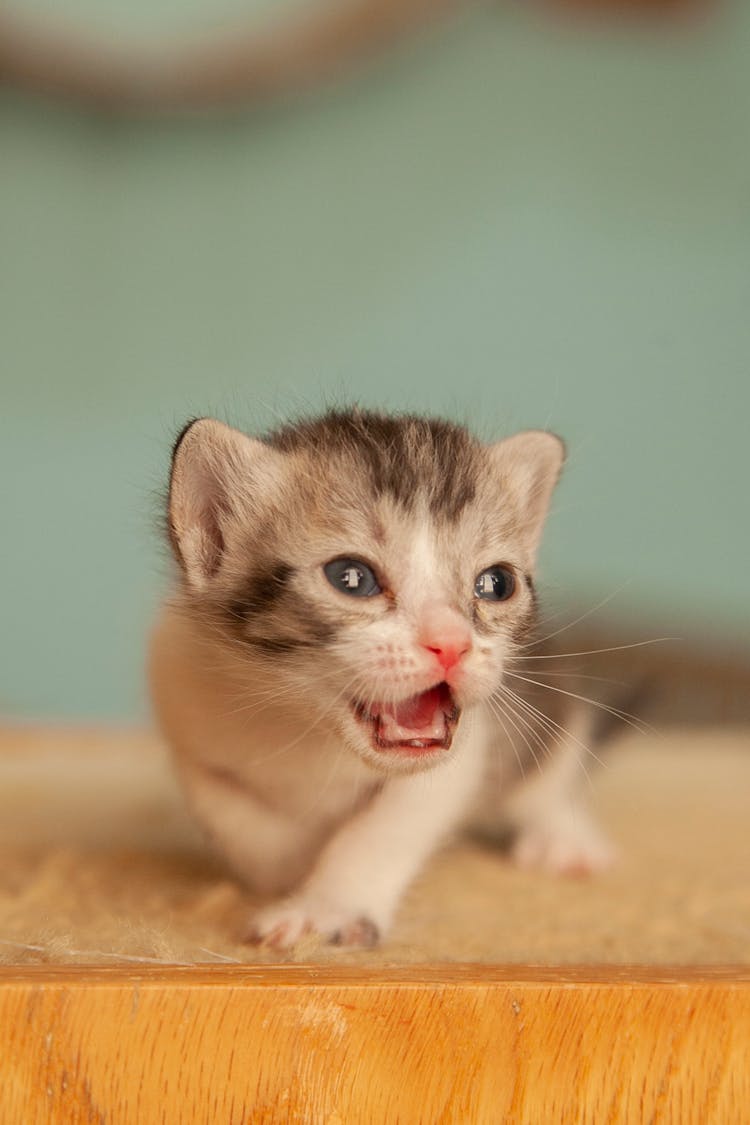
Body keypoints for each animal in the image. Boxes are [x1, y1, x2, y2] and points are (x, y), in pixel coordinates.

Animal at [149, 409, 611, 945]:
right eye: (351, 577)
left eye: (496, 583)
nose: (452, 644)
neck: (306, 729)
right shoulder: (183, 697)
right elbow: (231, 813)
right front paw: (289, 870)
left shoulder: (463, 752)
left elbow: (383, 829)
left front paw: (325, 906)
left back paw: (563, 837)